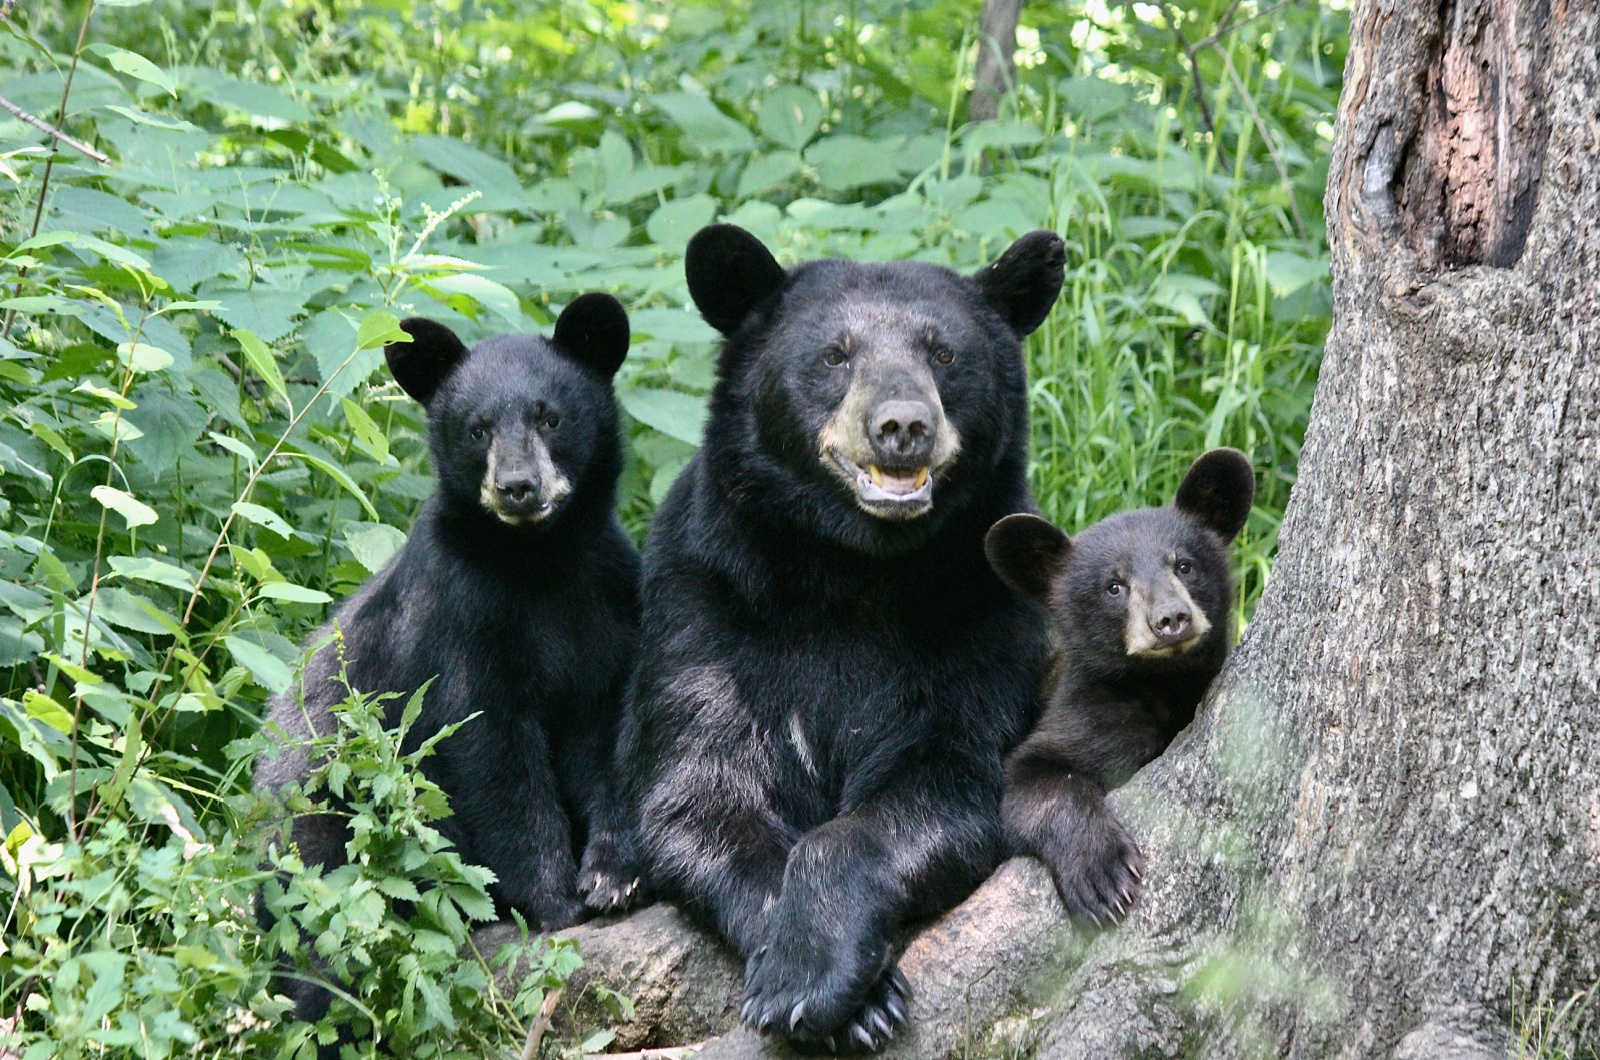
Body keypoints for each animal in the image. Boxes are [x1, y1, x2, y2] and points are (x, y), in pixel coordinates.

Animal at [252, 294, 640, 1024]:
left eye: (550, 415)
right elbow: (489, 752)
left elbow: (613, 737)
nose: (519, 487)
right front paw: (554, 901)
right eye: (477, 428)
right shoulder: (457, 618)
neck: (539, 562)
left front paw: (614, 877)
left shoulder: (609, 605)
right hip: (317, 830)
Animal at [620, 224, 1062, 1056]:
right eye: (835, 355)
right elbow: (701, 794)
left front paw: (815, 977)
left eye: (943, 353)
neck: (851, 568)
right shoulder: (707, 607)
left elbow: (944, 777)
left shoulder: (981, 614)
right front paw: (839, 992)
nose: (903, 426)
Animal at [985, 451, 1248, 928]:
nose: (1171, 618)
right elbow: (1033, 777)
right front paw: (1102, 876)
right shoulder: (1088, 709)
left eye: (1184, 565)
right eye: (1114, 586)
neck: (1163, 682)